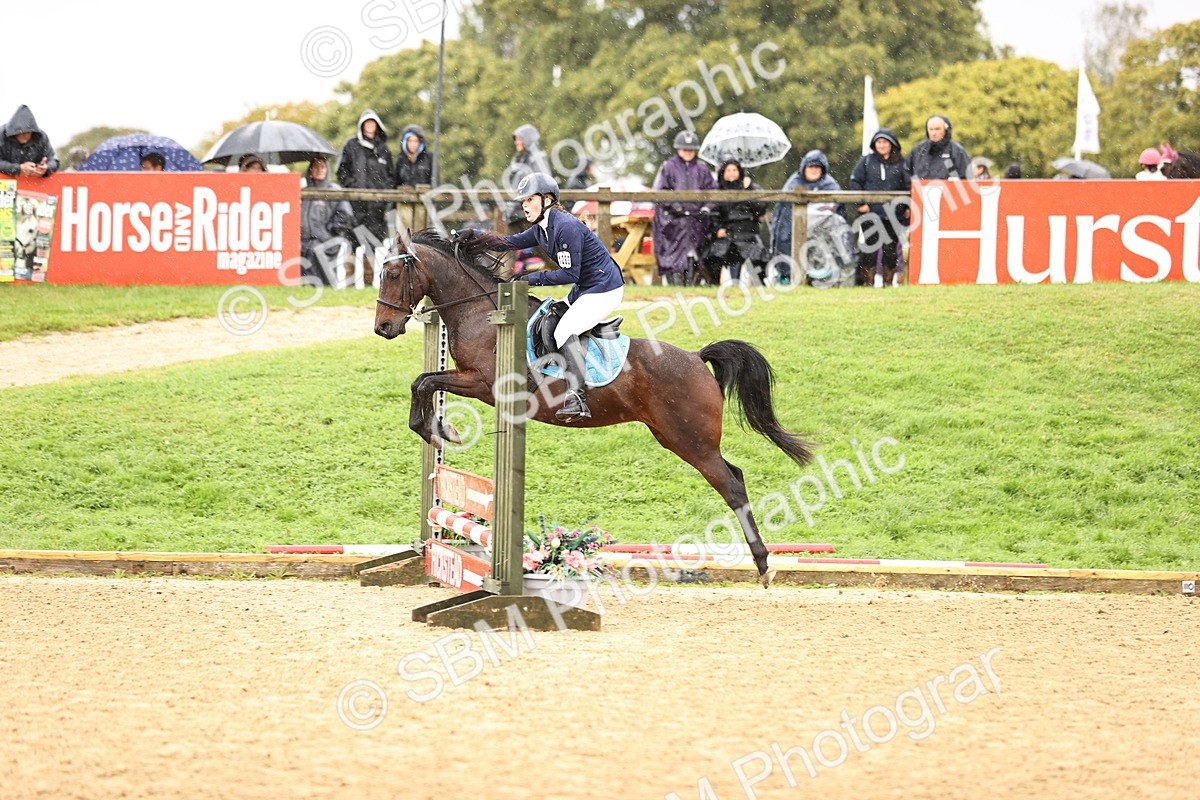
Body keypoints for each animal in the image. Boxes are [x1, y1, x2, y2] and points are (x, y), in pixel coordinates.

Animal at [374, 229, 814, 587]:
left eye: (393, 275)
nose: (383, 328)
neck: (483, 313)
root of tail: (695, 358)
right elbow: (422, 381)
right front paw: (437, 429)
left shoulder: (484, 384)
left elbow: (425, 382)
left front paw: (438, 431)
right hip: (678, 437)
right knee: (734, 475)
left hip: (690, 440)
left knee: (732, 486)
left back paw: (764, 565)